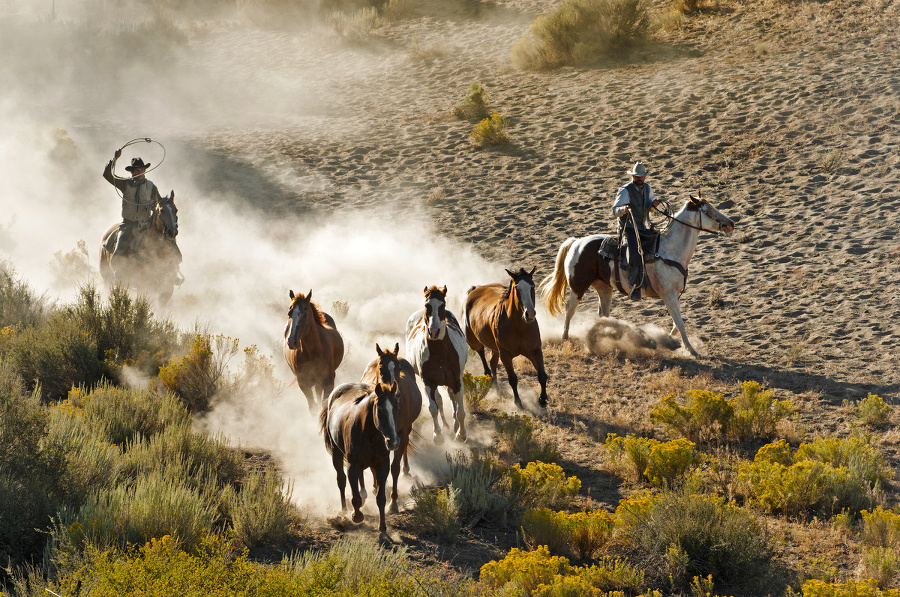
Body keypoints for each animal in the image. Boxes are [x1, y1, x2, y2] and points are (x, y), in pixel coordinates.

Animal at [318, 380, 400, 532]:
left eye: (397, 409)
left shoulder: (382, 466)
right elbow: (354, 496)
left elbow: (381, 498)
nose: (393, 442)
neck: (369, 434)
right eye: (380, 411)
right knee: (341, 480)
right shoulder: (352, 466)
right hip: (336, 454)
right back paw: (344, 510)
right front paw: (356, 516)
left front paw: (382, 526)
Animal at [360, 342, 424, 516]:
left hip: (406, 432)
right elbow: (375, 467)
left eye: (398, 367)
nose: (397, 393)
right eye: (381, 368)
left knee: (405, 448)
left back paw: (406, 469)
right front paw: (376, 487)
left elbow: (394, 467)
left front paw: (393, 502)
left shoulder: (399, 435)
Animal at [404, 284, 468, 442]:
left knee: (451, 397)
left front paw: (461, 435)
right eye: (427, 305)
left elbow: (461, 411)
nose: (433, 331)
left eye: (442, 305)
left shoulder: (457, 381)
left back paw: (455, 425)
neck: (440, 355)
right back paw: (446, 425)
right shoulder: (429, 382)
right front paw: (438, 435)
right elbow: (433, 407)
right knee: (439, 400)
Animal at [464, 268, 548, 408]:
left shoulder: (535, 350)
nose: (530, 314)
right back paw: (489, 379)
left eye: (532, 286)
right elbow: (513, 379)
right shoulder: (505, 355)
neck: (519, 326)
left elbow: (542, 375)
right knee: (482, 354)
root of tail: (476, 289)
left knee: (492, 362)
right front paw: (518, 402)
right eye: (517, 288)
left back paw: (496, 387)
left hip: (495, 349)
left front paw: (543, 400)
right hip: (474, 341)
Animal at [536, 193, 736, 356]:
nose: (730, 223)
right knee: (570, 310)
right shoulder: (668, 294)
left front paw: (669, 340)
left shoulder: (674, 295)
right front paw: (692, 351)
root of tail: (576, 242)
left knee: (603, 314)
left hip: (604, 287)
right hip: (578, 286)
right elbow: (679, 323)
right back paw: (565, 337)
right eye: (708, 210)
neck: (670, 249)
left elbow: (675, 324)